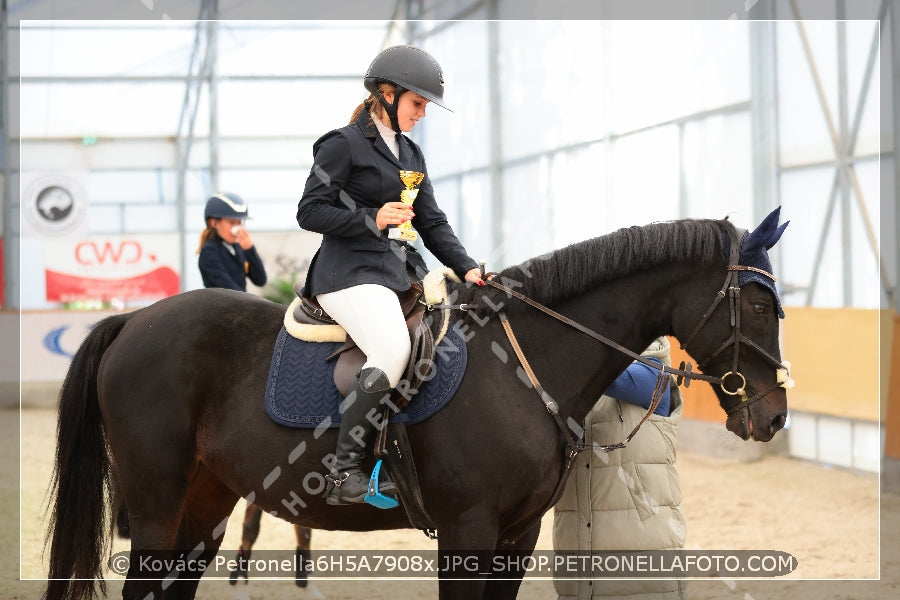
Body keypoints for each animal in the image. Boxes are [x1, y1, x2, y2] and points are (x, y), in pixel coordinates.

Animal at [44, 211, 788, 600]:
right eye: (758, 304)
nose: (776, 415)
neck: (522, 368)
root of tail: (133, 321)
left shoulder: (516, 537)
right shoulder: (468, 530)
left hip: (205, 502)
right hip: (156, 503)